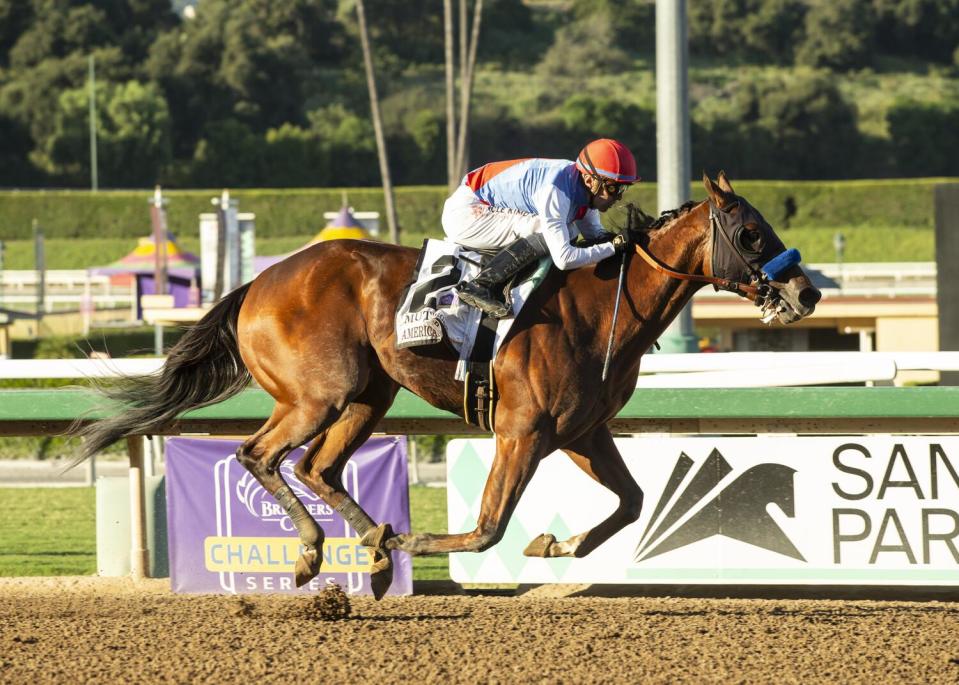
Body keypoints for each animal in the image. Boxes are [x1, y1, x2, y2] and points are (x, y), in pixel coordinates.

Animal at [75, 174, 820, 596]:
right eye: (751, 234)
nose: (806, 291)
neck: (600, 305)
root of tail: (258, 283)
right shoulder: (522, 430)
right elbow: (488, 527)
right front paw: (413, 543)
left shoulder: (580, 431)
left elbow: (634, 501)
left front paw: (558, 545)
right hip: (320, 393)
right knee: (261, 455)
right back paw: (321, 552)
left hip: (369, 394)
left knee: (316, 468)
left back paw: (369, 553)